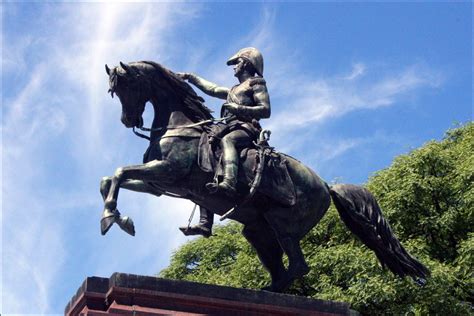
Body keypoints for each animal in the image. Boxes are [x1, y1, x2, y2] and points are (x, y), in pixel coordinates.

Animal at [101, 60, 430, 292]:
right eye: (113, 92)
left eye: (127, 87)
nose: (129, 120)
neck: (179, 124)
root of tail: (326, 186)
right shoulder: (159, 183)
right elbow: (110, 180)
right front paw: (120, 218)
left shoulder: (169, 171)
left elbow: (117, 173)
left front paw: (110, 218)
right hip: (258, 230)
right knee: (279, 263)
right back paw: (268, 289)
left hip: (282, 224)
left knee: (298, 265)